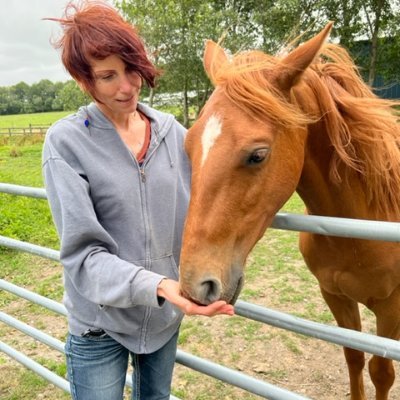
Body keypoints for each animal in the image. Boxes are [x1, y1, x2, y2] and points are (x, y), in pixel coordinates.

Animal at [180, 23, 400, 400]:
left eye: (257, 155)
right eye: (188, 147)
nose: (195, 285)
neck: (361, 230)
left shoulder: (392, 308)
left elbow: (381, 372)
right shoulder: (335, 296)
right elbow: (354, 357)